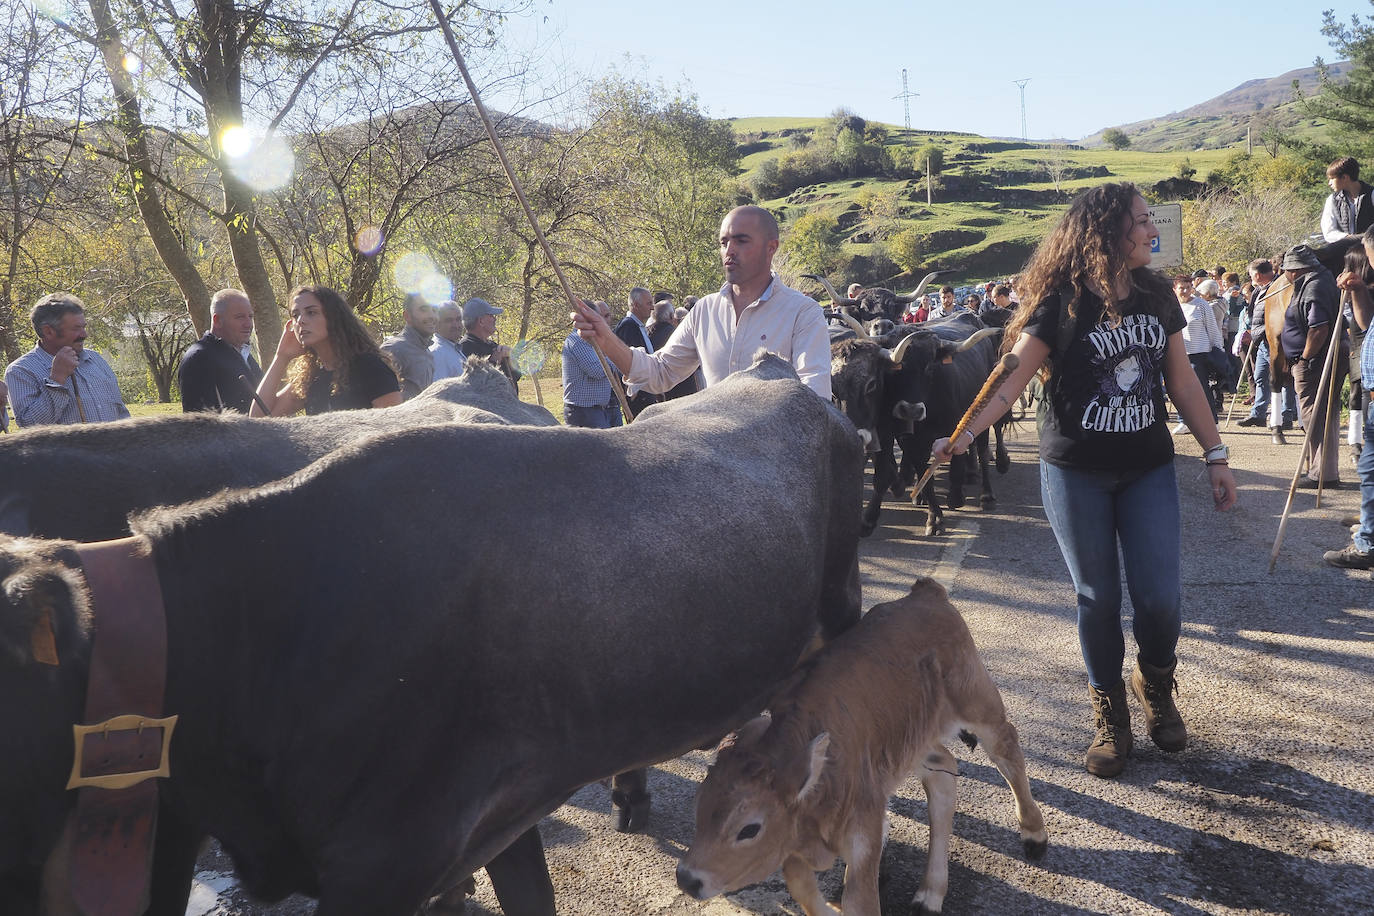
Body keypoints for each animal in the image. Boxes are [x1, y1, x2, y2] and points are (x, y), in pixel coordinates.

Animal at [678, 579, 1049, 916]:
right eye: (698, 806)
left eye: (749, 828)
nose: (687, 878)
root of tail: (925, 592)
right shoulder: (794, 845)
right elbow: (801, 888)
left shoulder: (865, 826)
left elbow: (859, 901)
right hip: (911, 741)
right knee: (944, 770)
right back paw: (930, 894)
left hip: (976, 701)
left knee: (1006, 748)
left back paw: (1034, 835)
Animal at [824, 313, 1011, 538]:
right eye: (896, 372)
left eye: (930, 367)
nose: (910, 410)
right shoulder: (905, 440)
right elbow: (921, 474)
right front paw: (934, 516)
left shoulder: (955, 427)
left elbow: (956, 463)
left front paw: (955, 497)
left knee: (984, 448)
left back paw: (987, 491)